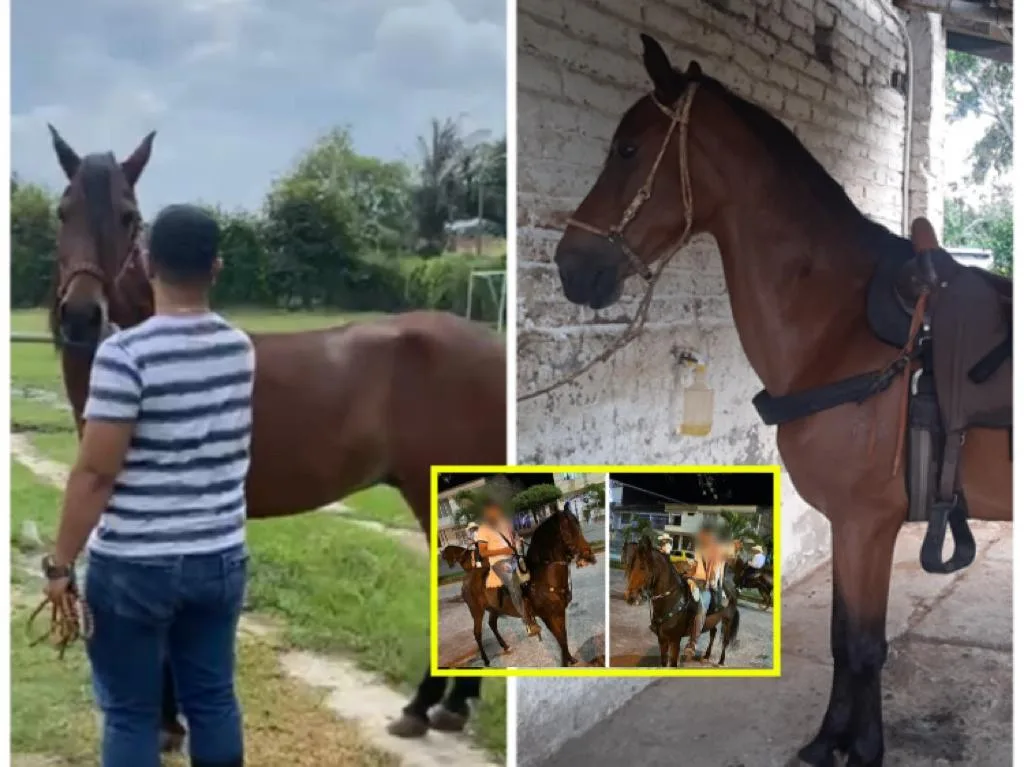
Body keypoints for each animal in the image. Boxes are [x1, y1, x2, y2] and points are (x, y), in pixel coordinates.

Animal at [44, 126, 506, 744]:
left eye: (128, 216)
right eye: (62, 210)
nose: (81, 317)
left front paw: (166, 721)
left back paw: (423, 707)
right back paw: (451, 705)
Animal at [451, 510, 596, 667]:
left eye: (578, 526)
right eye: (567, 531)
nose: (589, 555)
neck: (543, 575)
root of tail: (467, 576)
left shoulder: (559, 612)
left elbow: (563, 635)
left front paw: (569, 659)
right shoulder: (547, 615)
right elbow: (560, 638)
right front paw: (565, 663)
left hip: (494, 608)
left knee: (492, 624)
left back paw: (505, 646)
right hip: (476, 611)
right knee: (477, 633)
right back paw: (486, 660)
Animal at [622, 536, 739, 667]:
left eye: (642, 567)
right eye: (631, 566)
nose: (630, 597)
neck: (671, 600)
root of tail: (731, 587)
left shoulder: (675, 640)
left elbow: (673, 663)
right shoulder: (662, 639)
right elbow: (663, 663)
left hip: (728, 620)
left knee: (725, 640)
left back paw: (721, 661)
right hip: (713, 620)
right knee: (713, 633)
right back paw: (706, 656)